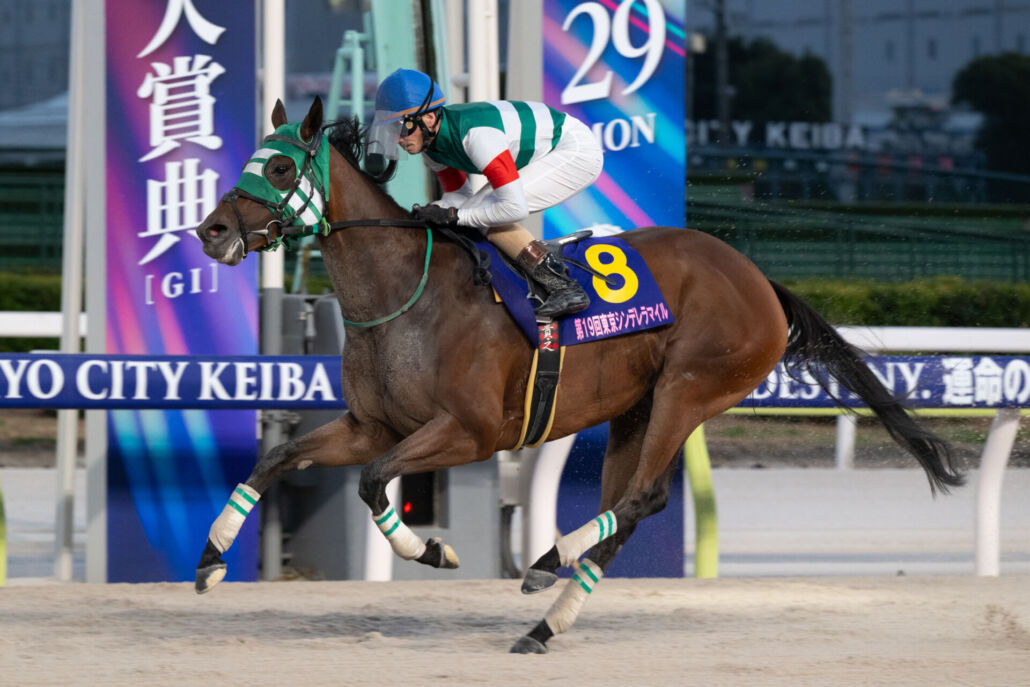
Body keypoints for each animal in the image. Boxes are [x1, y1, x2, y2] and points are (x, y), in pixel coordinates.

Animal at [194, 97, 964, 654]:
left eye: (282, 169)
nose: (211, 230)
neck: (406, 295)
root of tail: (760, 282)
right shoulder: (371, 424)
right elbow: (278, 459)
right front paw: (210, 558)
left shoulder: (469, 431)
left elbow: (372, 481)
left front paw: (433, 549)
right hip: (637, 405)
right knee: (627, 506)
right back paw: (543, 614)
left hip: (689, 389)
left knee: (643, 497)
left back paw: (548, 561)